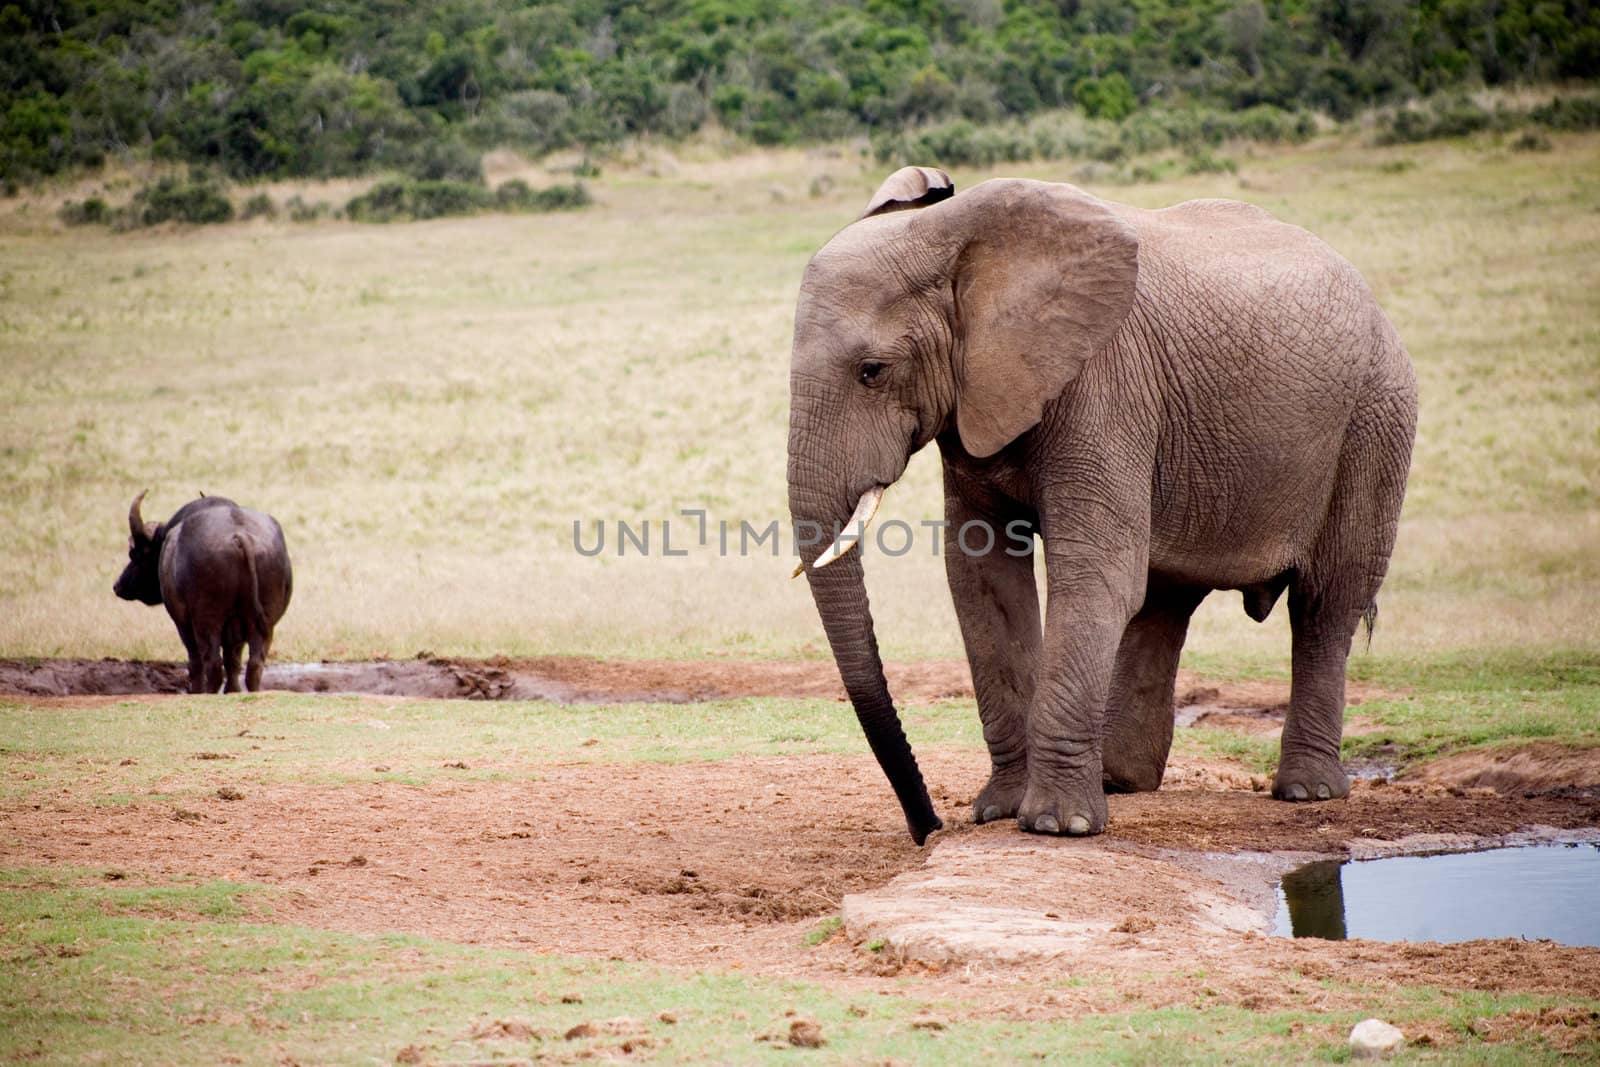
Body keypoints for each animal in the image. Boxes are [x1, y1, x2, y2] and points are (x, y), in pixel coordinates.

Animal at [112, 492, 294, 694]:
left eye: (134, 554)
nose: (118, 586)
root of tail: (239, 535)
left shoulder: (183, 623)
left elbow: (195, 661)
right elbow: (233, 660)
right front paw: (232, 691)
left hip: (206, 620)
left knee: (212, 664)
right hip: (263, 623)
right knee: (254, 664)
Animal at [787, 167, 1414, 844]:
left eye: (872, 371)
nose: (928, 827)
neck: (955, 240)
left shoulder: (1104, 387)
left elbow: (1092, 574)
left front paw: (1058, 826)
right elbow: (983, 582)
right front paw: (1000, 811)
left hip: (1377, 417)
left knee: (1326, 602)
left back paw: (1306, 792)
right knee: (1166, 599)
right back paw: (1122, 780)